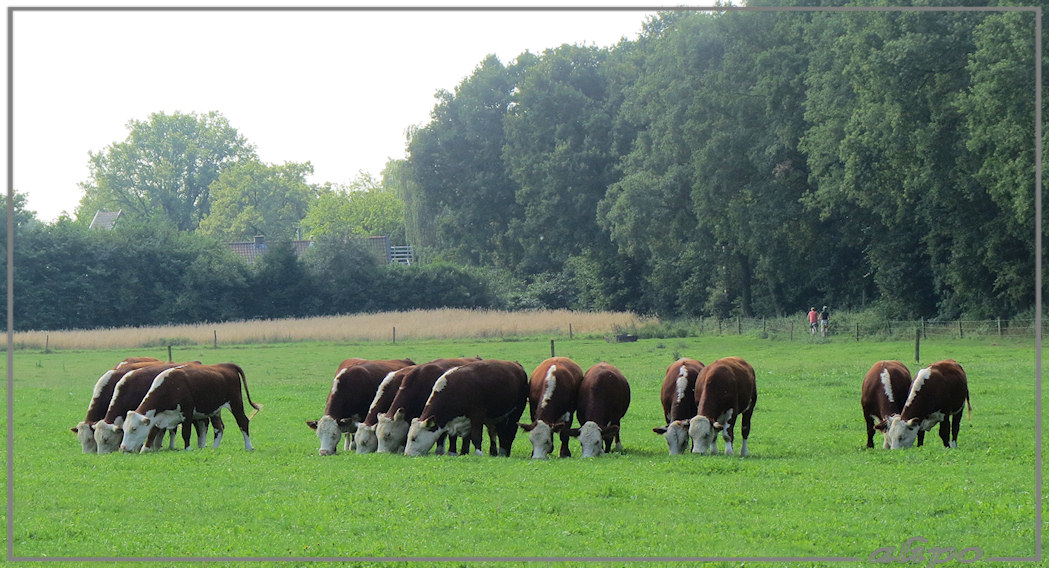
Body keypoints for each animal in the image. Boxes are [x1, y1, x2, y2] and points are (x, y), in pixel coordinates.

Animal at [116, 363, 258, 451]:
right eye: (124, 428)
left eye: (134, 429)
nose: (123, 448)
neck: (171, 386)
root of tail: (226, 365)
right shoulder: (159, 417)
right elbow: (151, 434)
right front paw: (144, 450)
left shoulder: (187, 413)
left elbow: (186, 433)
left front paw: (188, 449)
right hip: (215, 410)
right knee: (219, 428)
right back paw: (214, 449)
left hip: (235, 404)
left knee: (243, 422)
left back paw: (249, 446)